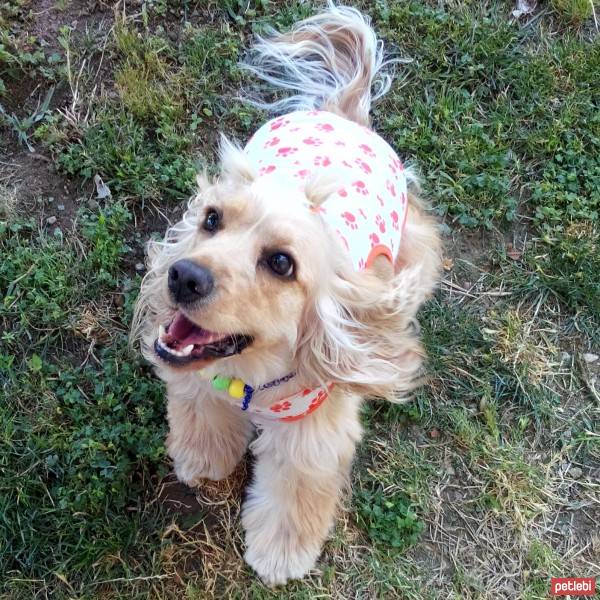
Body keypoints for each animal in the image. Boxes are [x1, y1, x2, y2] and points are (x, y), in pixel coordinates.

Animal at [131, 3, 440, 584]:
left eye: (281, 263)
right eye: (211, 219)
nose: (182, 276)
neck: (249, 377)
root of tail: (343, 115)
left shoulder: (314, 432)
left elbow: (296, 493)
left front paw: (278, 554)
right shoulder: (200, 381)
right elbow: (200, 416)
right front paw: (201, 459)